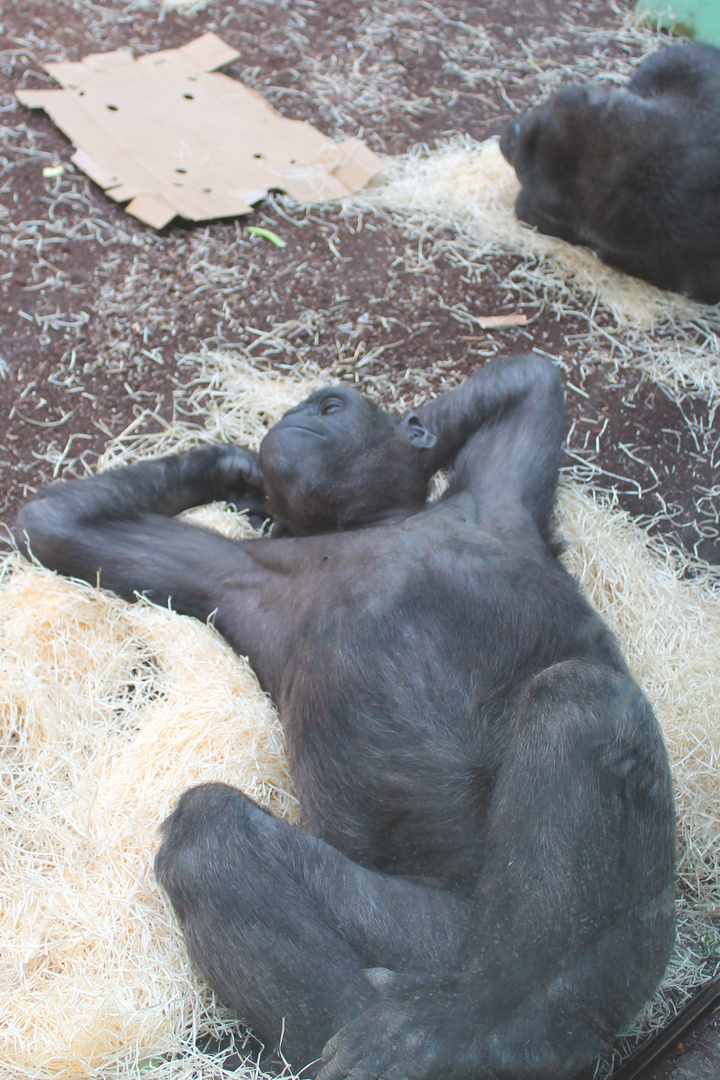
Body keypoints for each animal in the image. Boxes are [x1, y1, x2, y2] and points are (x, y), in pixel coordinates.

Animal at [15, 356, 677, 1080]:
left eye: (333, 407)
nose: (300, 415)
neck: (371, 526)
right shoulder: (227, 573)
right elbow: (58, 525)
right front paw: (236, 466)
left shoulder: (498, 498)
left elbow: (532, 381)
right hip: (420, 936)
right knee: (210, 834)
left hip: (630, 949)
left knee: (577, 702)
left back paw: (470, 1015)